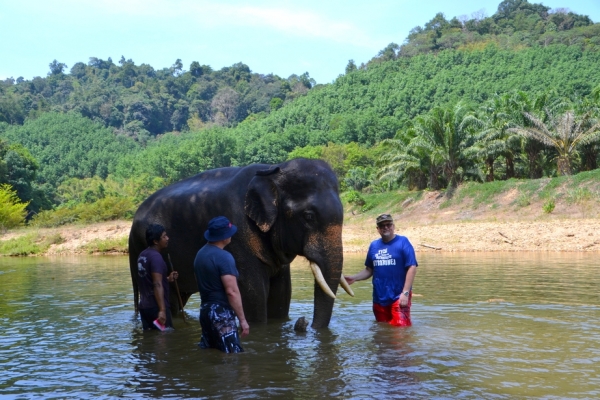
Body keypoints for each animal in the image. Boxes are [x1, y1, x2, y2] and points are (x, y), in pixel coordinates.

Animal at [126, 158, 352, 330]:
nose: (303, 324)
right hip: (141, 247)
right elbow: (253, 297)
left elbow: (281, 296)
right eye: (308, 216)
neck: (273, 171)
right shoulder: (237, 234)